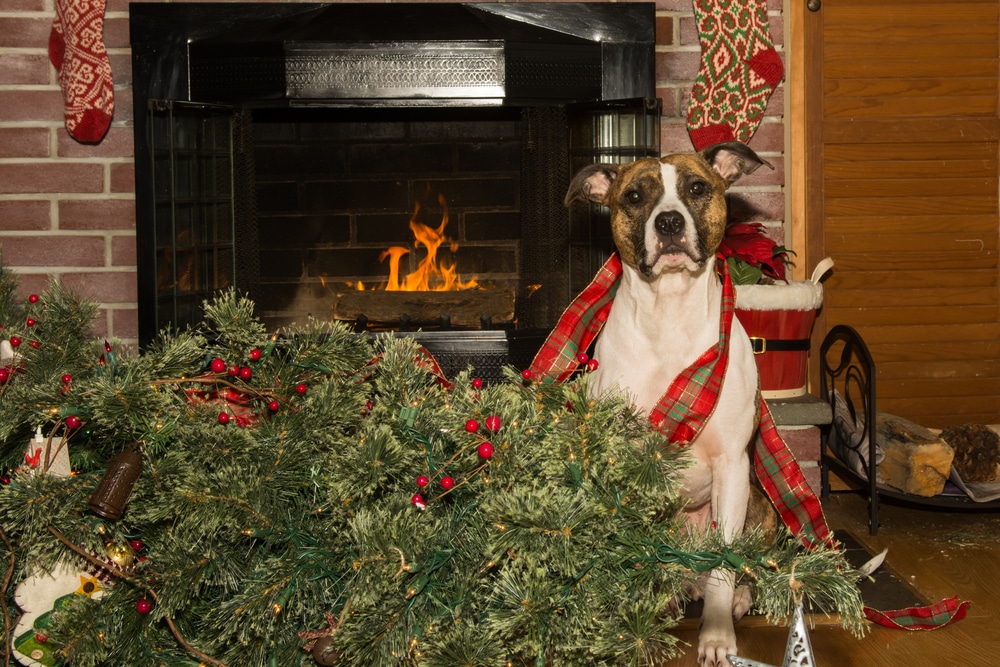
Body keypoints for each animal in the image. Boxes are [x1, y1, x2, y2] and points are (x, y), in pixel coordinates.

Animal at [564, 142, 772, 667]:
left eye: (697, 188)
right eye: (634, 197)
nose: (670, 222)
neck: (670, 313)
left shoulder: (732, 466)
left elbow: (724, 564)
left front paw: (716, 637)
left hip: (760, 509)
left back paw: (734, 597)